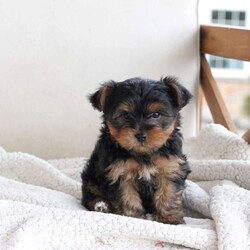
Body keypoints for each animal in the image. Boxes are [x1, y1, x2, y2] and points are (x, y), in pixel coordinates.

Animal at [81, 76, 192, 225]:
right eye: (126, 115)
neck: (143, 153)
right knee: (90, 194)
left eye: (156, 114)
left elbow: (169, 193)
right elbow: (127, 196)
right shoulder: (119, 172)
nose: (141, 136)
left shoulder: (171, 167)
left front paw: (170, 219)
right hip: (91, 176)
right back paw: (101, 204)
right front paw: (132, 217)